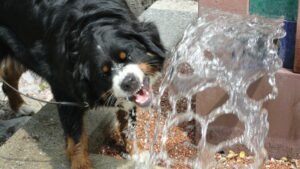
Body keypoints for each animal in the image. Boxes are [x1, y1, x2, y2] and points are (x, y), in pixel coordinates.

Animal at [0, 0, 164, 168]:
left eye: (127, 56)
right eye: (104, 73)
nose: (129, 82)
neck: (90, 20)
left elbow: (128, 124)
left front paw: (136, 153)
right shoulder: (65, 91)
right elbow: (76, 135)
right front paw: (81, 163)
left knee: (9, 73)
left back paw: (20, 106)